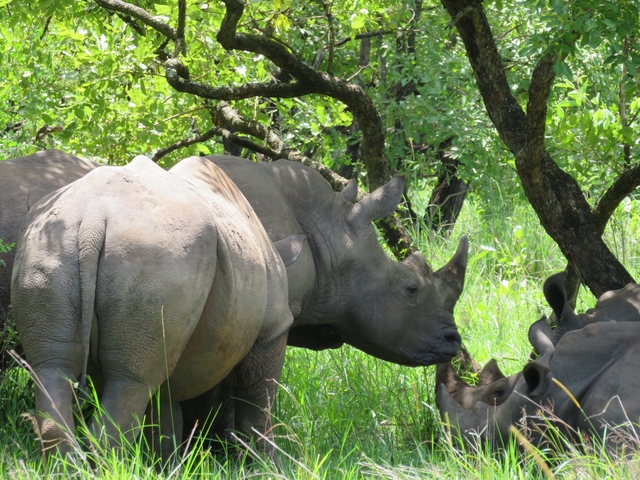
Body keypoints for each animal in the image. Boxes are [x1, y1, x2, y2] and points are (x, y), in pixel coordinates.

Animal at [11, 155, 294, 458]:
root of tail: (92, 218)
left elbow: (163, 415)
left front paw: (166, 463)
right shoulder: (273, 328)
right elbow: (258, 400)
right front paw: (267, 462)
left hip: (44, 244)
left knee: (52, 366)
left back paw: (70, 463)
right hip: (156, 255)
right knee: (132, 382)